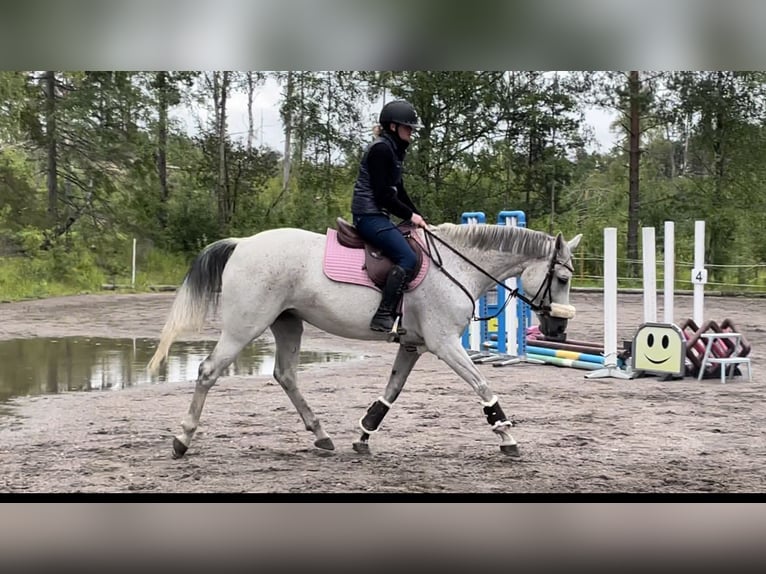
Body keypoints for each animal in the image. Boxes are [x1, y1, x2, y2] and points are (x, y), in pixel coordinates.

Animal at [148, 220, 584, 460]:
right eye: (562, 278)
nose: (558, 333)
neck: (459, 266)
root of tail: (243, 243)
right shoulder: (445, 344)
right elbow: (483, 386)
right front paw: (507, 436)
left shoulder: (413, 345)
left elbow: (390, 392)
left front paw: (363, 435)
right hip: (245, 326)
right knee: (208, 371)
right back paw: (182, 440)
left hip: (287, 324)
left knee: (286, 375)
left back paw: (322, 435)